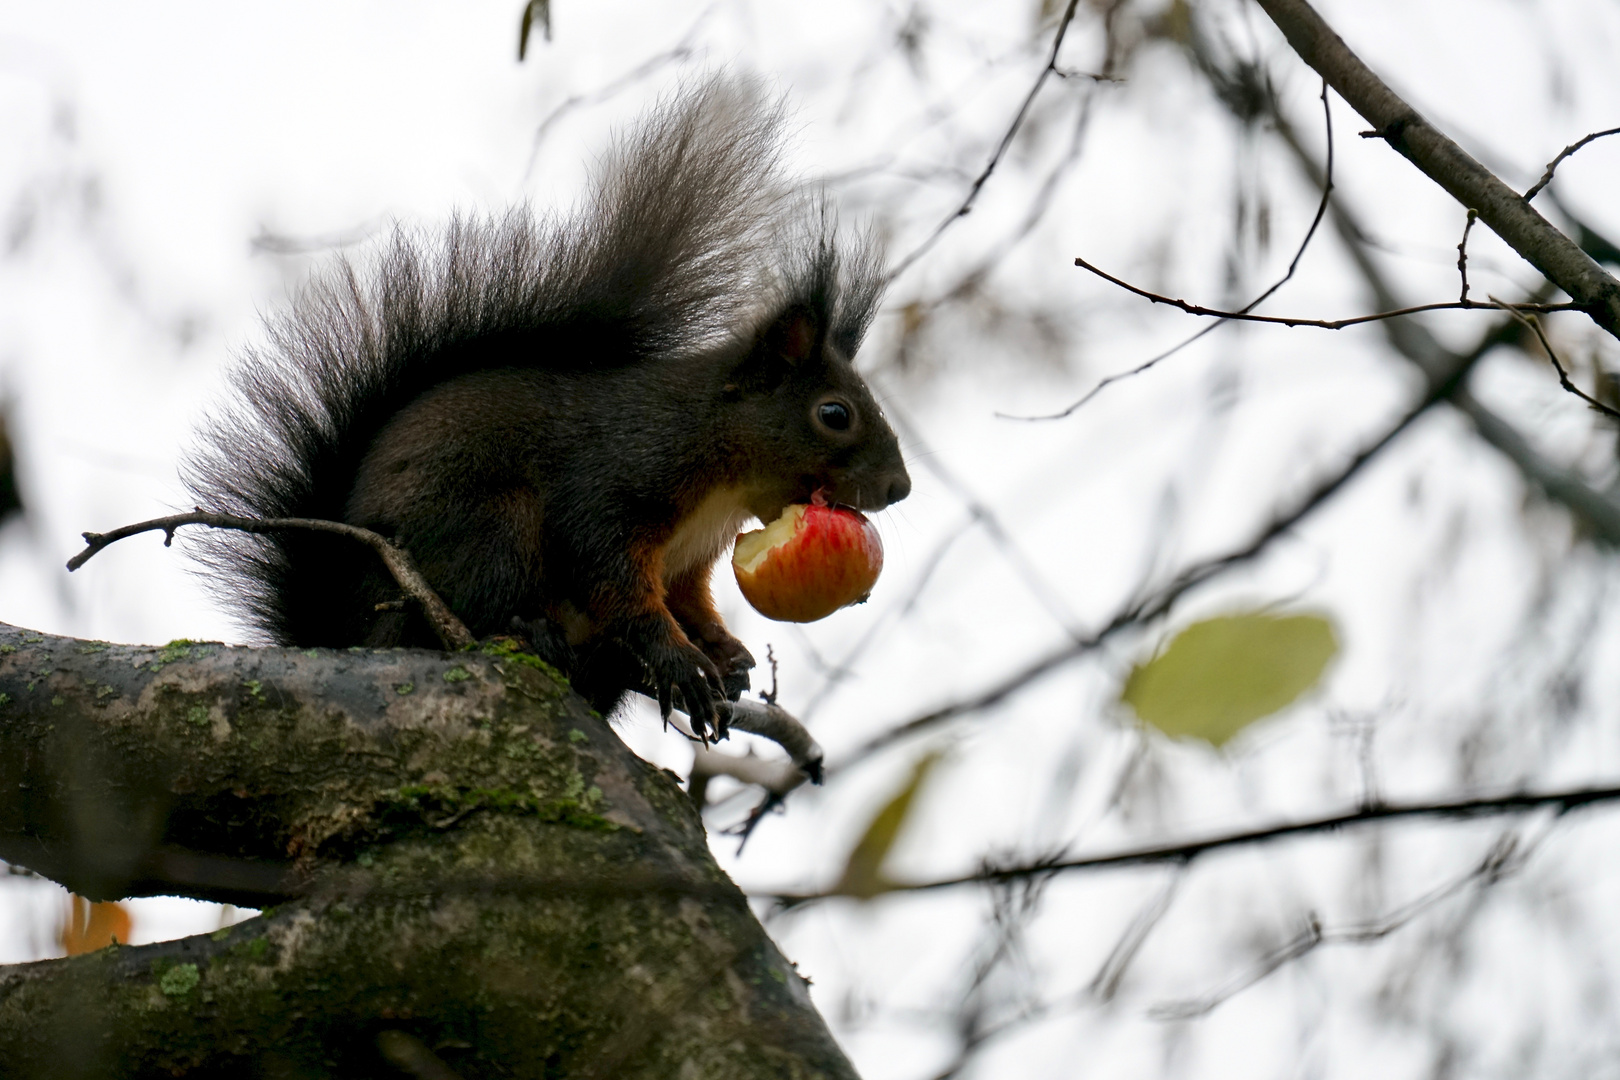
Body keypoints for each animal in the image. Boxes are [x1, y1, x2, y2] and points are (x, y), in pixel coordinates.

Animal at [183, 74, 913, 735]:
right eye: (835, 414)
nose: (899, 488)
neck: (720, 468)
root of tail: (340, 632)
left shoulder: (688, 560)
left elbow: (688, 599)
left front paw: (723, 651)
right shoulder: (617, 478)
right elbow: (609, 571)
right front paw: (677, 658)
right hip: (488, 531)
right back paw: (529, 632)